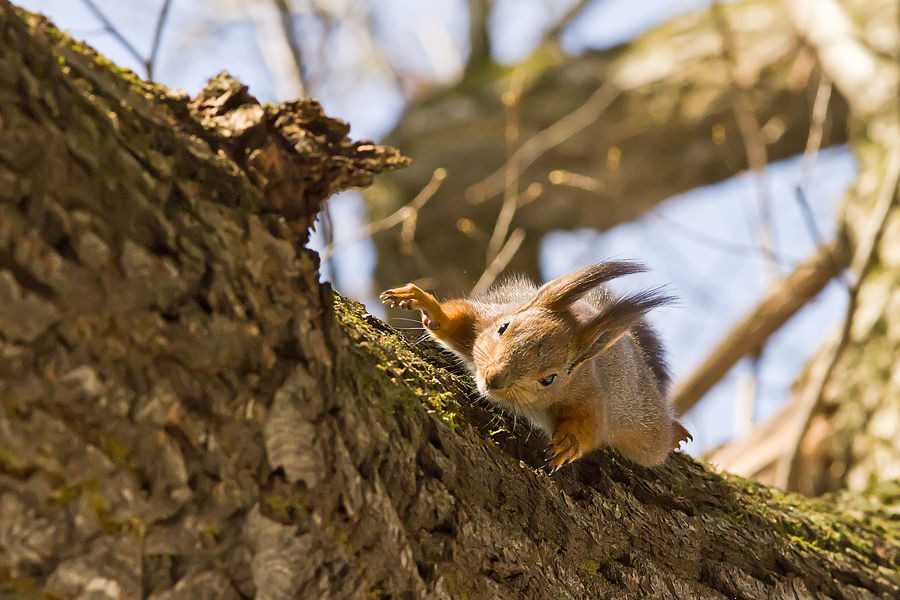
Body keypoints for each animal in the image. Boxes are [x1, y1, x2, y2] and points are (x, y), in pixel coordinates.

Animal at [378, 262, 688, 474]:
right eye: (503, 327)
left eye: (550, 379)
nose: (493, 379)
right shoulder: (486, 317)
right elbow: (456, 320)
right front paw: (426, 305)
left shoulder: (590, 395)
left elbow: (591, 427)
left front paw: (568, 444)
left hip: (644, 425)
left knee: (653, 445)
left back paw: (675, 434)